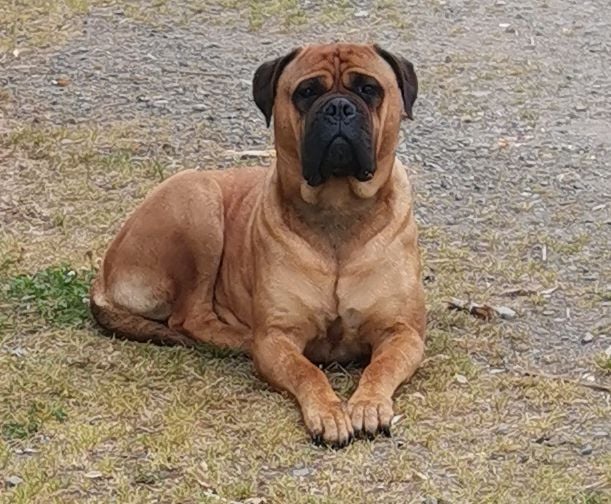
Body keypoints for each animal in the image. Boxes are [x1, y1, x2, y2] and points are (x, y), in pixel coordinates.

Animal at [89, 43, 426, 448]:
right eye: (307, 92)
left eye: (368, 89)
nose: (338, 108)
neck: (337, 213)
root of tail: (105, 271)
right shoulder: (278, 338)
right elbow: (306, 371)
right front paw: (328, 412)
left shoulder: (402, 333)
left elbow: (381, 367)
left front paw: (368, 405)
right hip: (198, 204)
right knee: (191, 318)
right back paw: (240, 337)